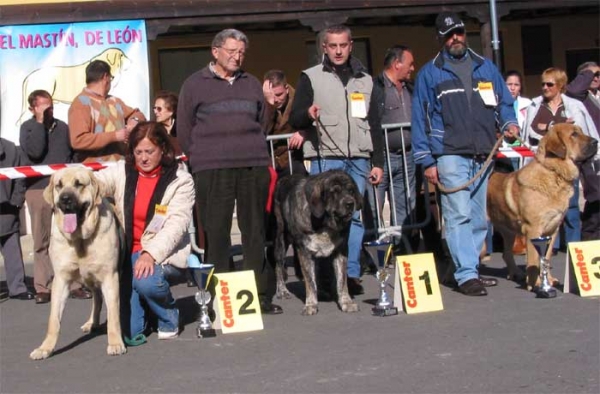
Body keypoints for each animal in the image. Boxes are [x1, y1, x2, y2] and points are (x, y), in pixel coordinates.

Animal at [274, 171, 364, 316]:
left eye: (351, 190)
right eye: (334, 192)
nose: (350, 203)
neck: (324, 223)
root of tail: (284, 178)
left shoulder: (341, 250)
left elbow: (341, 280)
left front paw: (346, 302)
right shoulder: (304, 251)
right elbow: (310, 281)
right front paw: (311, 304)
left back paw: (321, 292)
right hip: (281, 239)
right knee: (279, 265)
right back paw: (282, 291)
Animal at [490, 122, 596, 290]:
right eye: (574, 134)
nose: (596, 142)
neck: (554, 173)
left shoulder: (552, 229)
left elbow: (546, 257)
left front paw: (549, 280)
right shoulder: (533, 229)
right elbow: (534, 258)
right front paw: (536, 284)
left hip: (508, 230)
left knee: (506, 253)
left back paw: (516, 273)